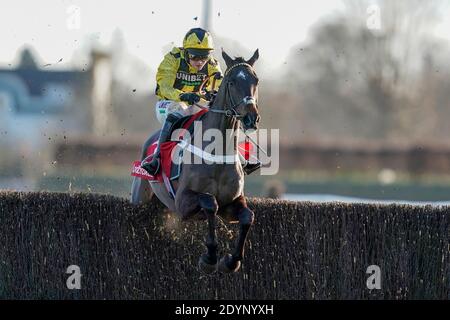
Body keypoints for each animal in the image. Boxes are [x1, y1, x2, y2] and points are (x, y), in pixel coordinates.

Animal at [130, 49, 260, 272]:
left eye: (256, 80)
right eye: (232, 82)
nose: (252, 118)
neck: (217, 155)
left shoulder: (232, 203)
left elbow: (247, 217)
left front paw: (231, 261)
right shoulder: (182, 203)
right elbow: (210, 203)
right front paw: (209, 258)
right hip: (140, 195)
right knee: (172, 115)